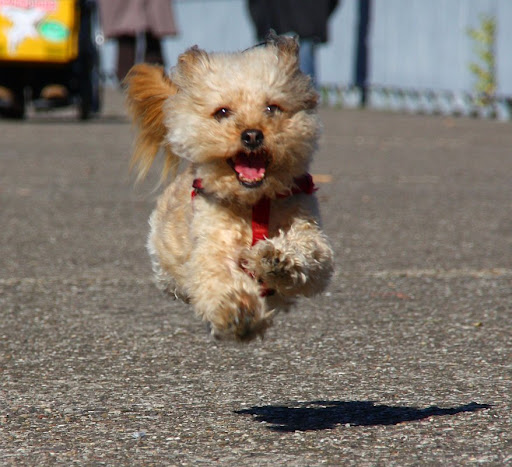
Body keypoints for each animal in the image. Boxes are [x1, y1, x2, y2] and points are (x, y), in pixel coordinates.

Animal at [123, 32, 332, 340]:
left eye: (272, 108)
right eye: (222, 112)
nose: (252, 135)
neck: (254, 202)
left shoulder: (311, 235)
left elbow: (308, 250)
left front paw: (278, 260)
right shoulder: (212, 245)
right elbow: (217, 276)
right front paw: (238, 311)